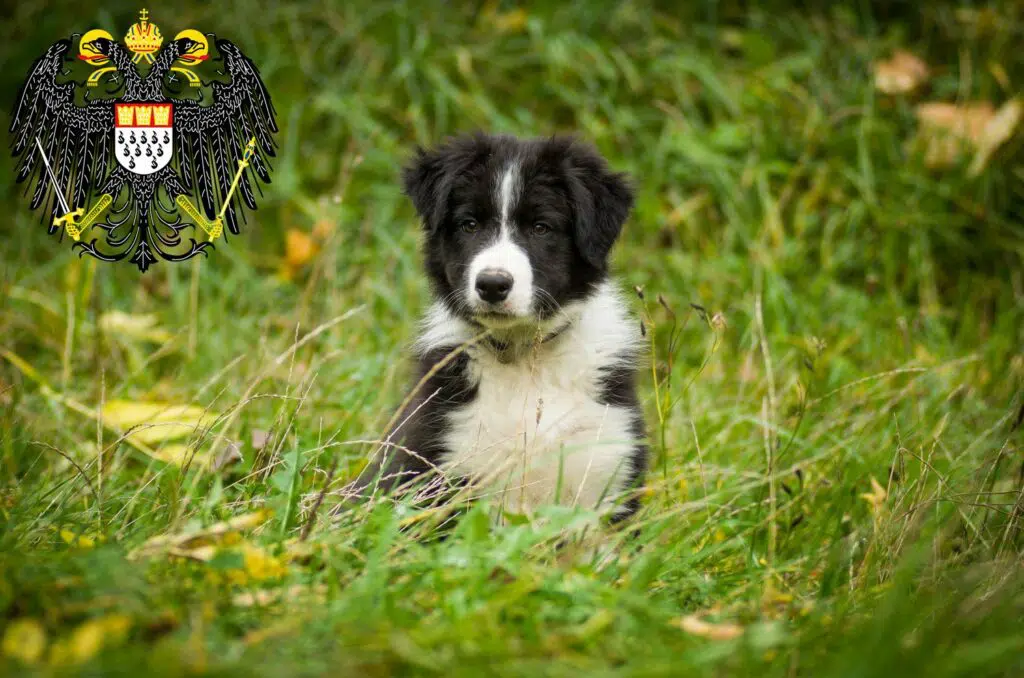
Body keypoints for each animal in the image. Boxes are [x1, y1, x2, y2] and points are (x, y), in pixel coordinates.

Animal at [356, 133, 647, 518]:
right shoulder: (439, 456)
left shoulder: (608, 460)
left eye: (541, 227)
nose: (492, 284)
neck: (523, 357)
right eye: (470, 224)